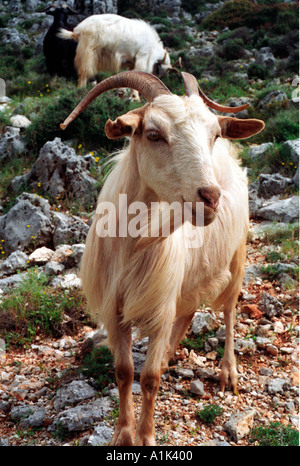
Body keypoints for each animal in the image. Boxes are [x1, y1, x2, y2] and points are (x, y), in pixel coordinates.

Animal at [59, 71, 264, 446]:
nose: (210, 198)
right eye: (153, 134)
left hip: (237, 256)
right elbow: (124, 372)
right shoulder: (117, 310)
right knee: (189, 311)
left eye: (213, 134)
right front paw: (123, 434)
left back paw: (228, 371)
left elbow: (150, 379)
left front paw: (146, 437)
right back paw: (170, 354)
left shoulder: (159, 307)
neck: (134, 245)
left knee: (229, 311)